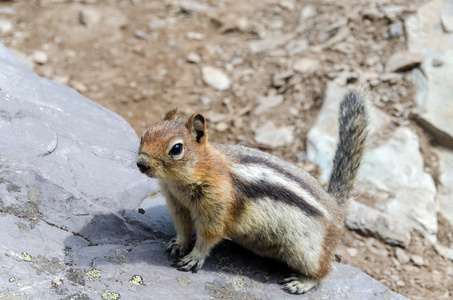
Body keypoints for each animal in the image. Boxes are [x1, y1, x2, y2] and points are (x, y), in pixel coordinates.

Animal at [135, 90, 368, 294]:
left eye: (176, 149)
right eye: (144, 134)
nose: (141, 163)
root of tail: (336, 208)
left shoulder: (216, 206)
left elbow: (209, 235)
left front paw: (194, 257)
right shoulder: (177, 203)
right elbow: (183, 227)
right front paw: (178, 244)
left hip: (306, 250)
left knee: (323, 270)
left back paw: (302, 283)